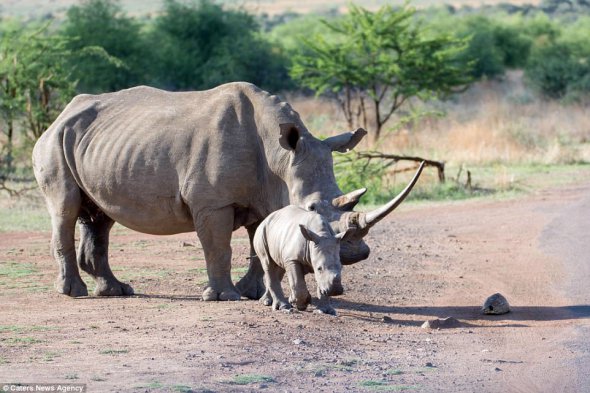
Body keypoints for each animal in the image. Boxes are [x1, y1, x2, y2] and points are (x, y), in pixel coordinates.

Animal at [32, 81, 424, 298]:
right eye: (312, 208)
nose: (355, 254)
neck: (281, 157)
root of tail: (61, 114)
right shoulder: (211, 202)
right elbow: (218, 247)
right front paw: (223, 296)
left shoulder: (263, 198)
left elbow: (257, 244)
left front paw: (252, 293)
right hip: (54, 142)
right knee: (65, 208)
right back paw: (74, 293)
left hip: (99, 145)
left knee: (100, 217)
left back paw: (115, 291)